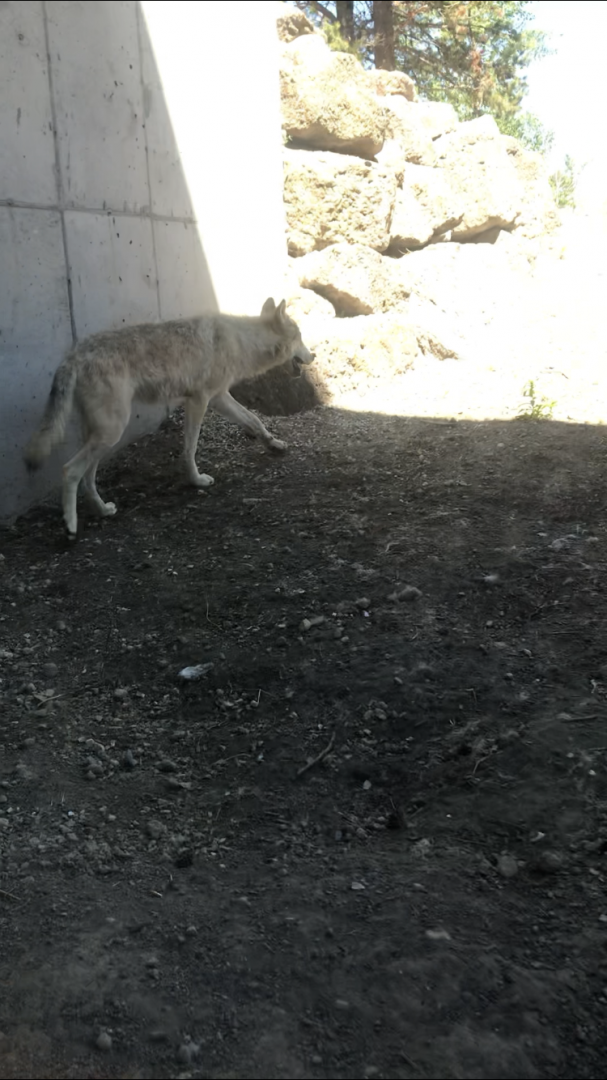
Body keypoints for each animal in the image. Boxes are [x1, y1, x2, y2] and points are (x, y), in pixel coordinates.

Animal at [24, 298, 315, 538]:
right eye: (300, 337)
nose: (313, 355)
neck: (242, 341)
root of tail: (73, 355)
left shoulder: (220, 397)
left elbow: (254, 420)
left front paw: (273, 443)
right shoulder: (199, 401)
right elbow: (190, 448)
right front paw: (196, 481)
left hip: (102, 437)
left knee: (87, 477)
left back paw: (102, 510)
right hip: (111, 433)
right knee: (70, 471)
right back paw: (71, 525)